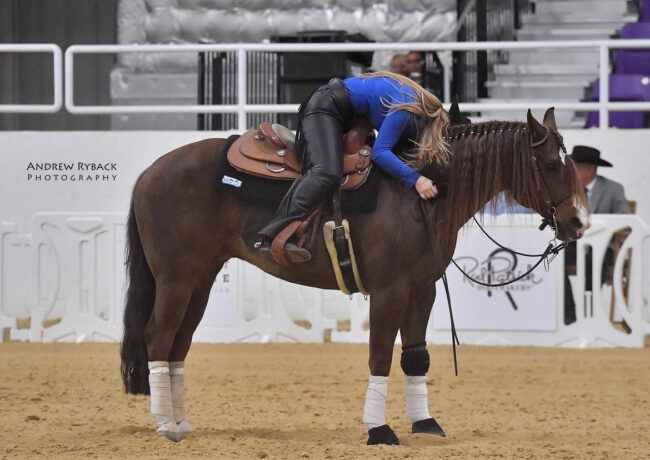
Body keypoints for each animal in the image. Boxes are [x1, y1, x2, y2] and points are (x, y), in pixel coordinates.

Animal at [120, 108, 588, 446]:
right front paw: (379, 429)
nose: (579, 222)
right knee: (159, 337)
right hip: (176, 279)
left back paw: (181, 421)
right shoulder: (389, 291)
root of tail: (147, 174)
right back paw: (166, 424)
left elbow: (416, 356)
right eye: (551, 164)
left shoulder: (423, 289)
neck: (420, 193)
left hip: (199, 279)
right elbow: (379, 356)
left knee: (179, 343)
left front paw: (425, 423)